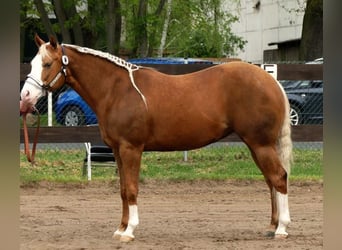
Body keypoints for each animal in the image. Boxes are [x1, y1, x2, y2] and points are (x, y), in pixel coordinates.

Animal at [20, 35, 292, 242]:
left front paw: (129, 231)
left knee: (279, 178)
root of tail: (271, 81)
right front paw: (120, 228)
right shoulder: (117, 151)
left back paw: (281, 228)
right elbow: (122, 190)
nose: (25, 97)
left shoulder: (131, 149)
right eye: (32, 63)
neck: (117, 90)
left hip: (260, 144)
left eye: (47, 64)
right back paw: (272, 226)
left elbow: (131, 189)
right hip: (257, 145)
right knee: (271, 181)